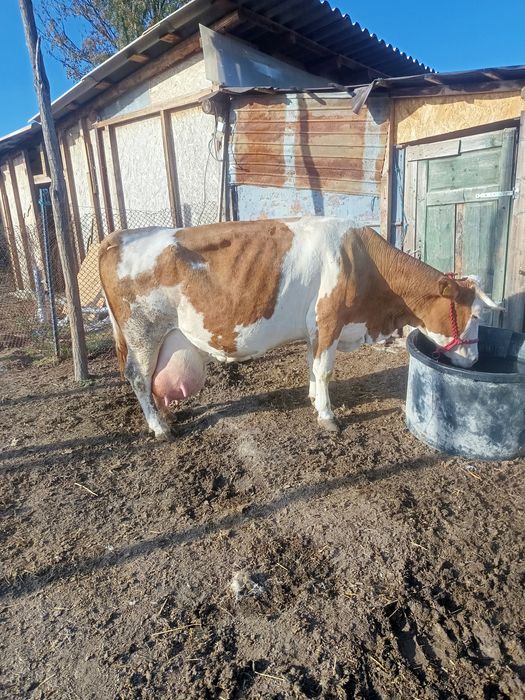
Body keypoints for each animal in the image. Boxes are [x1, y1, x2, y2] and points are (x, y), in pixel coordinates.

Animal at [99, 217, 501, 439]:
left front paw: (311, 399)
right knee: (138, 377)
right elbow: (324, 370)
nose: (476, 360)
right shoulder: (329, 320)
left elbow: (312, 365)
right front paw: (327, 416)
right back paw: (160, 427)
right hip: (142, 333)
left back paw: (165, 416)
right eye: (476, 316)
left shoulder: (315, 328)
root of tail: (120, 235)